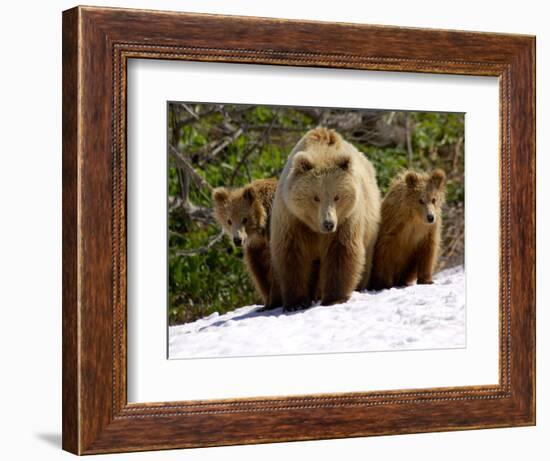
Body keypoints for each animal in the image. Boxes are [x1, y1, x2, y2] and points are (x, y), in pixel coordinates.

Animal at [210, 178, 280, 308]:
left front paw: (274, 300)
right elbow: (258, 271)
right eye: (229, 221)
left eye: (244, 219)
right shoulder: (256, 247)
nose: (237, 240)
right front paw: (267, 301)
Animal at [270, 127, 382, 310]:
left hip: (370, 224)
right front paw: (296, 302)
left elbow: (341, 251)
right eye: (316, 197)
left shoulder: (346, 220)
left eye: (337, 196)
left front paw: (334, 297)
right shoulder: (292, 219)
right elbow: (292, 255)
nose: (328, 223)